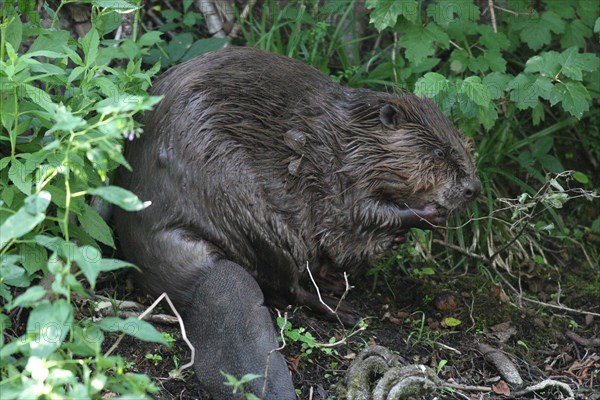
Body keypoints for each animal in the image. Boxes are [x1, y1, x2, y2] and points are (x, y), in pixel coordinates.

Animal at [113, 47, 482, 400]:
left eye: (464, 147)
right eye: (439, 153)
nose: (473, 189)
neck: (350, 136)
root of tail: (203, 274)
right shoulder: (340, 175)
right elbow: (358, 215)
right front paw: (426, 216)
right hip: (259, 217)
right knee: (289, 287)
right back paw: (345, 311)